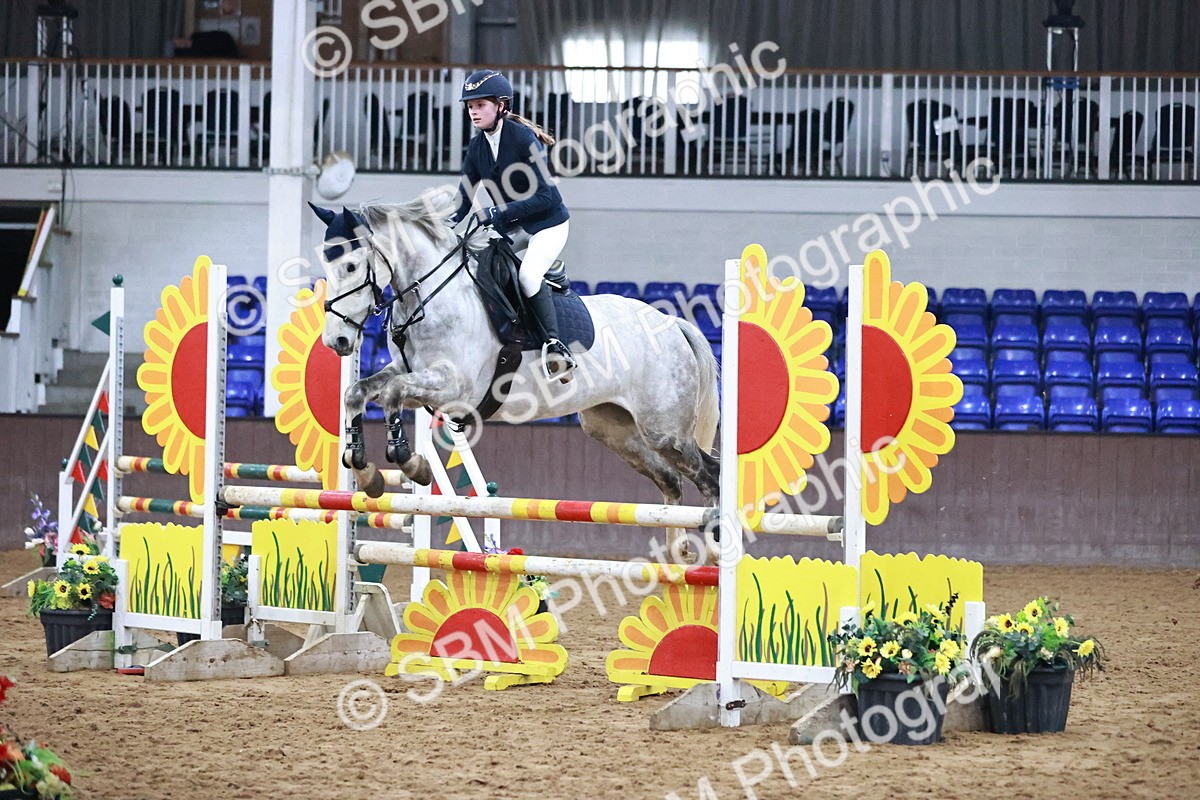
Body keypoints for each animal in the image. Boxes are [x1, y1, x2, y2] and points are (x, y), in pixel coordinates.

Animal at [308, 194, 720, 561]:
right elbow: (357, 392)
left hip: (663, 430)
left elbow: (392, 393)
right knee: (671, 479)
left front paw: (410, 462)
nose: (337, 341)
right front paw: (363, 468)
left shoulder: (455, 386)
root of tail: (673, 323)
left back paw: (715, 545)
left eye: (351, 266)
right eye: (327, 266)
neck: (431, 297)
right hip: (615, 430)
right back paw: (678, 551)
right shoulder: (410, 373)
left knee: (709, 474)